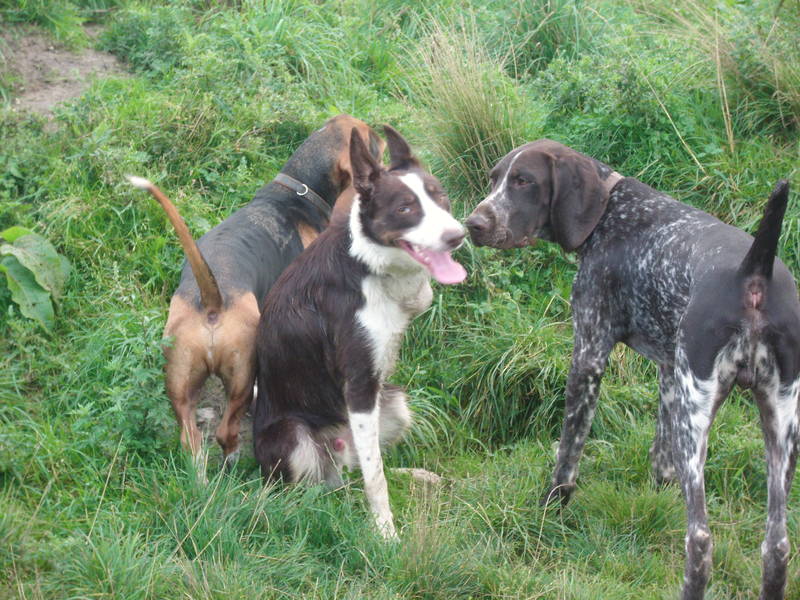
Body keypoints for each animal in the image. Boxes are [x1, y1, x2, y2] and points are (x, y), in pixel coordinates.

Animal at [127, 114, 385, 464]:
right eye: (370, 138)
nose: (384, 136)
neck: (297, 190)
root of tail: (212, 299)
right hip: (242, 374)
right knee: (226, 431)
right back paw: (234, 457)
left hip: (180, 382)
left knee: (190, 439)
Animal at [253, 125, 466, 538]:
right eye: (405, 208)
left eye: (440, 197)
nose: (459, 236)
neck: (370, 266)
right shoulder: (358, 384)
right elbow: (376, 481)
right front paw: (386, 535)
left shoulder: (372, 390)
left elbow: (376, 470)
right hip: (294, 436)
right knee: (324, 488)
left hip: (395, 403)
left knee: (360, 470)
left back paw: (415, 476)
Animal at [466, 139, 799, 600]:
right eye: (494, 178)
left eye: (524, 181)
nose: (473, 224)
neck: (610, 214)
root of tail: (754, 271)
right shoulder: (668, 373)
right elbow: (660, 459)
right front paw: (658, 498)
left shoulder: (589, 356)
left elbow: (568, 452)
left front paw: (550, 508)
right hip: (778, 421)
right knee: (777, 545)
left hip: (699, 413)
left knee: (700, 539)